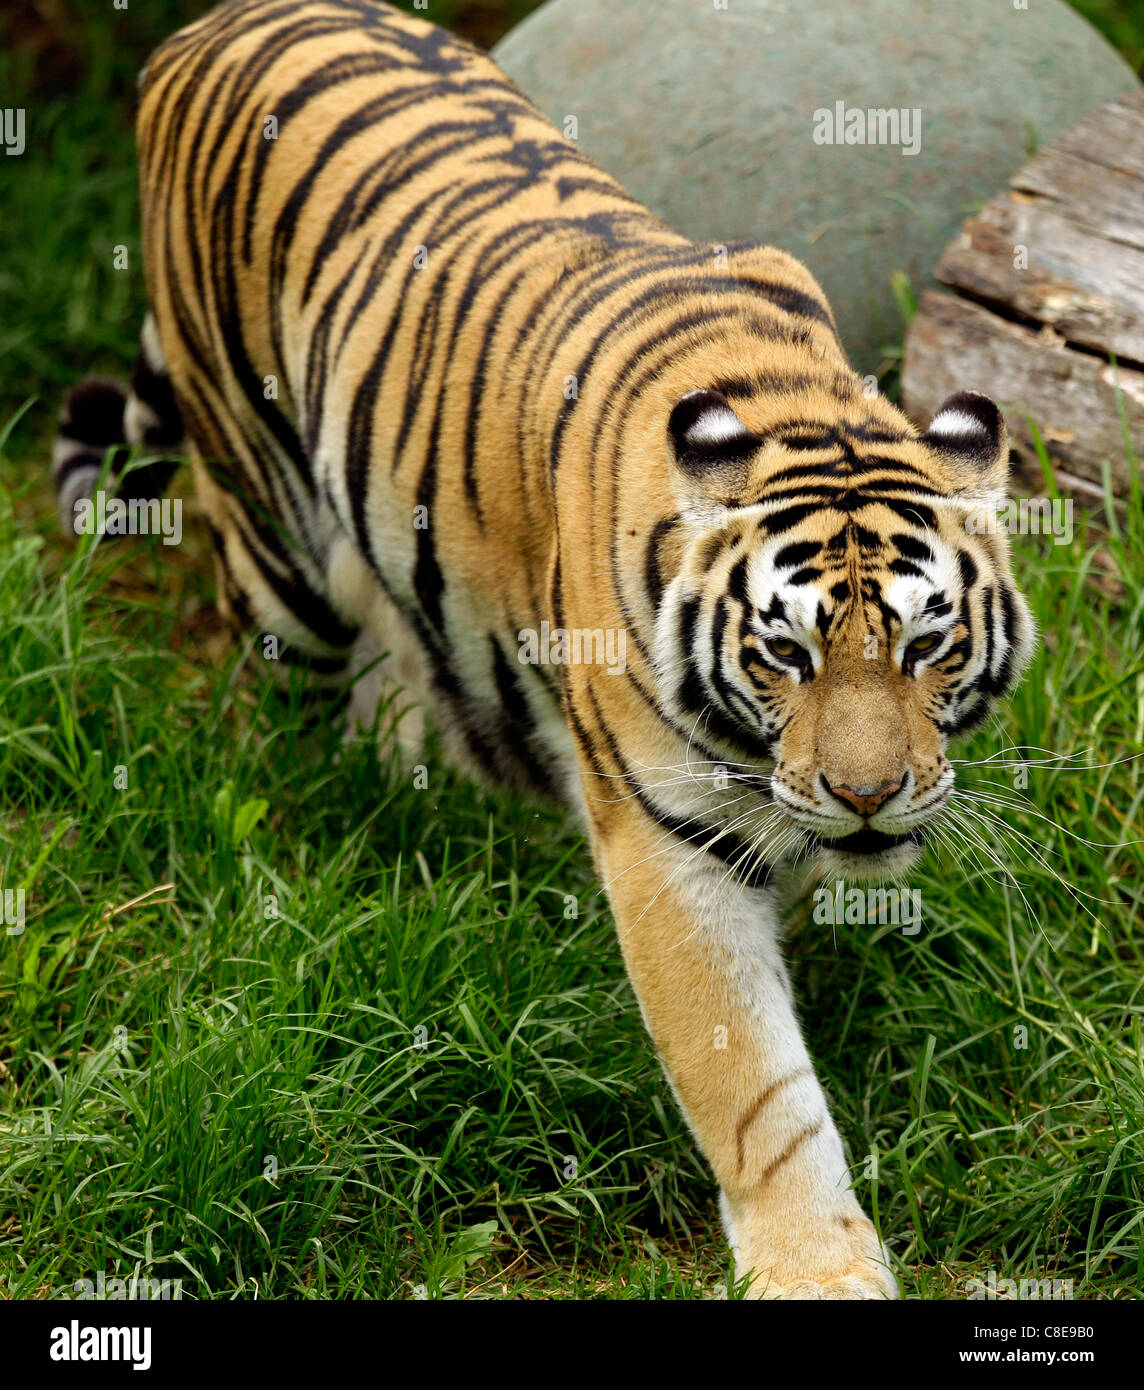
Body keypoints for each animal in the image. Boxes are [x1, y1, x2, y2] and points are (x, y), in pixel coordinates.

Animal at [51, 2, 1039, 1301]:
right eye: (783, 654)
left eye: (927, 643)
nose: (869, 796)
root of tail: (209, 26)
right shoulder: (670, 845)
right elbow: (752, 1084)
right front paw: (818, 1268)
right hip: (275, 546)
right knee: (291, 704)